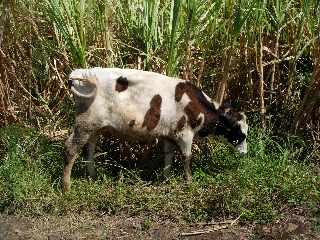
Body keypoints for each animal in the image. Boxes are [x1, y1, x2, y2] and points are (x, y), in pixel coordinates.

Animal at [62, 67, 248, 191]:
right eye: (240, 133)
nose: (245, 153)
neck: (197, 104)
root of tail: (80, 73)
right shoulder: (185, 133)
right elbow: (187, 158)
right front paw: (189, 182)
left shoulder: (170, 134)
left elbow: (168, 157)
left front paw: (165, 178)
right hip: (85, 123)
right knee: (70, 148)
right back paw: (66, 186)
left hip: (94, 127)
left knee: (90, 148)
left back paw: (91, 175)